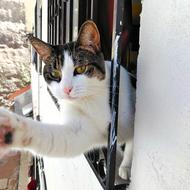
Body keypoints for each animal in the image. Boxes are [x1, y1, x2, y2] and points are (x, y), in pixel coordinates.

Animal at [0, 20, 135, 180]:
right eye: (54, 73)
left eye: (81, 69)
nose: (66, 89)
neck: (91, 101)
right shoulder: (79, 129)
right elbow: (59, 140)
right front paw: (9, 127)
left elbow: (133, 144)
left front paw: (126, 166)